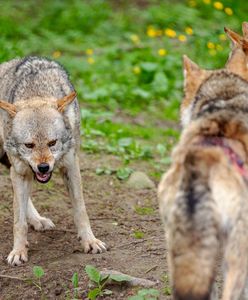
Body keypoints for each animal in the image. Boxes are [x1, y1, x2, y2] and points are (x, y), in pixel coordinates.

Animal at [0, 55, 105, 264]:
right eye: (29, 145)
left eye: (52, 142)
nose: (43, 167)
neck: (36, 90)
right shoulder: (20, 172)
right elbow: (18, 221)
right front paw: (18, 251)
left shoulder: (71, 166)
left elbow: (80, 210)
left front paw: (90, 242)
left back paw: (38, 221)